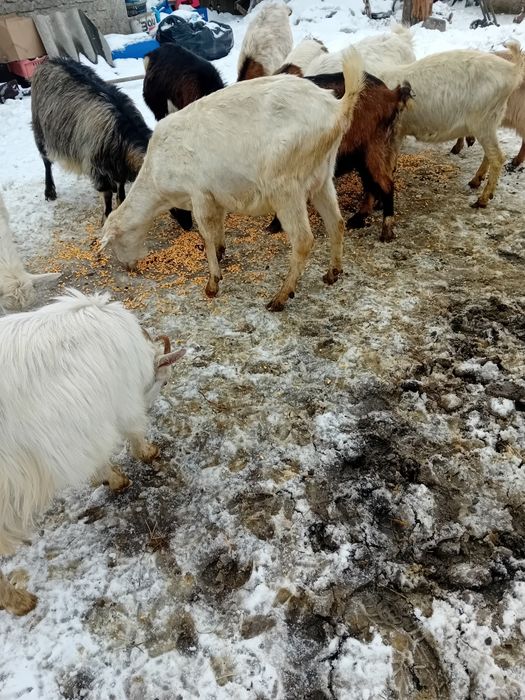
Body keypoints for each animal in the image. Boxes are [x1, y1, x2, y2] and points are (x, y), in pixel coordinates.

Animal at [31, 58, 152, 223]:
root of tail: (48, 61)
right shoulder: (97, 167)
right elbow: (107, 194)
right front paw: (107, 216)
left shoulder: (118, 164)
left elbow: (120, 183)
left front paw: (121, 200)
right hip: (40, 131)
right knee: (46, 161)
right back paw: (49, 191)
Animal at [101, 50, 364, 312]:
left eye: (116, 243)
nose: (129, 267)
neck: (157, 174)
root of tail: (337, 108)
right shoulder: (215, 197)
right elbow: (217, 229)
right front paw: (220, 254)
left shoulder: (199, 196)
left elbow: (206, 234)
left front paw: (212, 284)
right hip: (321, 178)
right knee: (336, 223)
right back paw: (332, 273)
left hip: (286, 187)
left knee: (303, 240)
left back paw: (280, 297)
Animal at [370, 43, 524, 207]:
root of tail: (512, 69)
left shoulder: (393, 132)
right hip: (491, 121)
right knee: (490, 155)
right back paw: (475, 182)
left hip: (483, 121)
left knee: (497, 158)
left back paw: (481, 200)